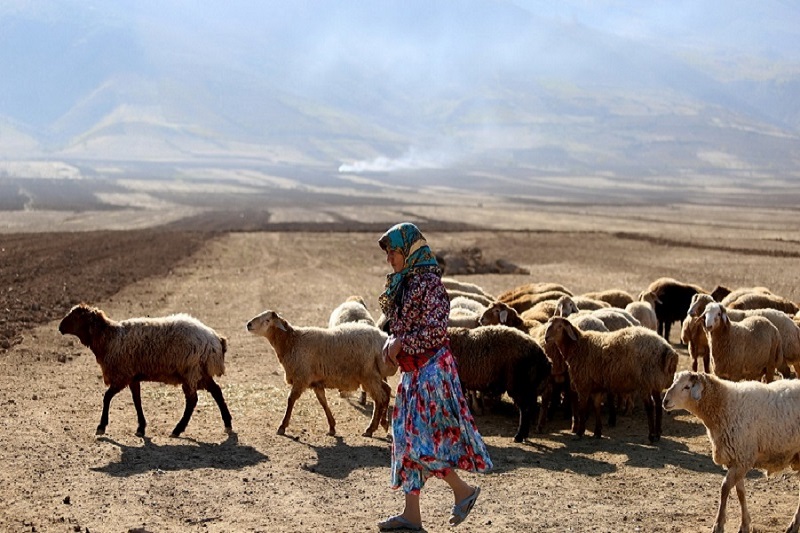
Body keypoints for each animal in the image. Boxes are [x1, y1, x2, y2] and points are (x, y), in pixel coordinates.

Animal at [55, 304, 231, 436]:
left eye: (76, 316)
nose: (60, 327)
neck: (109, 338)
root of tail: (216, 339)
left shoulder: (122, 375)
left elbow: (107, 397)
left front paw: (101, 426)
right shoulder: (133, 376)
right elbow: (137, 400)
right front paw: (141, 427)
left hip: (190, 370)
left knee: (193, 400)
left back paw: (178, 429)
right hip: (200, 371)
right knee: (216, 391)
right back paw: (227, 423)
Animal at [244, 308, 394, 436]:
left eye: (267, 320)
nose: (248, 324)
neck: (292, 342)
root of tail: (383, 338)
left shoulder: (301, 377)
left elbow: (291, 400)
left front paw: (282, 426)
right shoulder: (316, 382)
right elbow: (323, 402)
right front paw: (332, 427)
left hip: (368, 375)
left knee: (380, 398)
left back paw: (371, 429)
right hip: (374, 374)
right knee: (386, 391)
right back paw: (384, 423)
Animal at [540, 316, 680, 440]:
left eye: (559, 326)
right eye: (548, 324)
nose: (546, 338)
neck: (577, 346)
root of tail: (667, 350)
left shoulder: (583, 384)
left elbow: (582, 408)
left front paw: (580, 432)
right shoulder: (596, 386)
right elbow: (596, 406)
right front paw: (597, 432)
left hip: (645, 382)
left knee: (650, 407)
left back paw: (651, 436)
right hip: (655, 381)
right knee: (658, 406)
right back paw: (658, 433)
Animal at [664, 370, 800, 532]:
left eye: (687, 387)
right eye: (673, 382)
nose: (665, 401)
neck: (725, 404)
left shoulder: (743, 458)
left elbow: (725, 488)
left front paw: (719, 525)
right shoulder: (735, 459)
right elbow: (740, 492)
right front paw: (745, 525)